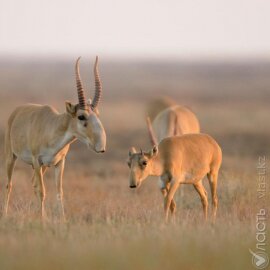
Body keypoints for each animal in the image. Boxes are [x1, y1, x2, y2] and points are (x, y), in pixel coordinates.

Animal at [3, 56, 106, 219]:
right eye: (81, 116)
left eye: (97, 113)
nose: (101, 146)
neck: (53, 127)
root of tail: (16, 111)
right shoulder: (37, 161)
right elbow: (42, 191)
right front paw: (42, 219)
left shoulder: (59, 163)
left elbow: (59, 192)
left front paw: (61, 219)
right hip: (11, 157)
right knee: (9, 184)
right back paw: (6, 214)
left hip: (43, 166)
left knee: (33, 183)